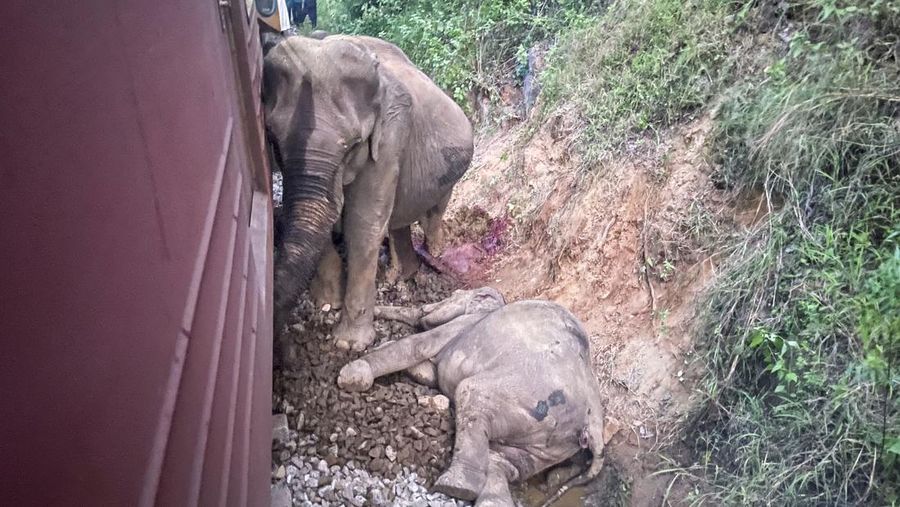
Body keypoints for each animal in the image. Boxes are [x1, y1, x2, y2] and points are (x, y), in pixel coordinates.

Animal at [262, 34, 474, 354]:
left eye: (353, 145)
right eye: (273, 140)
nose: (282, 350)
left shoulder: (391, 134)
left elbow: (363, 224)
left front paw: (348, 344)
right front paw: (327, 302)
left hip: (450, 170)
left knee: (432, 214)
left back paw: (434, 254)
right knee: (399, 221)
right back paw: (399, 276)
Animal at [336, 290, 604, 507]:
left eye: (452, 295)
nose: (374, 310)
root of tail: (594, 425)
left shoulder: (462, 325)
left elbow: (418, 345)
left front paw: (352, 376)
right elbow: (428, 372)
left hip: (528, 403)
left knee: (471, 395)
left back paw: (455, 487)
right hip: (547, 444)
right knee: (503, 463)